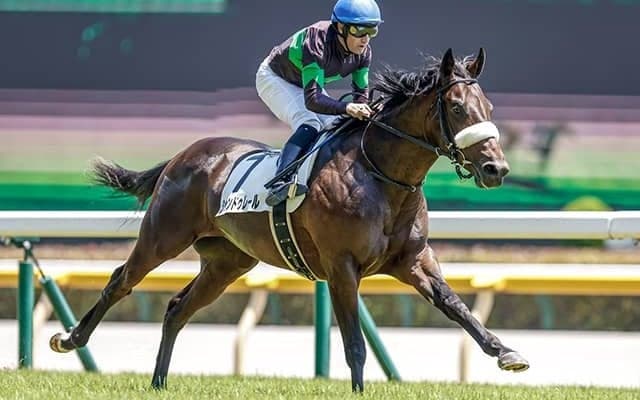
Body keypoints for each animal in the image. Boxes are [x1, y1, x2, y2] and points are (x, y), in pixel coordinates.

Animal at [49, 48, 529, 392]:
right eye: (457, 107)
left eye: (488, 105)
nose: (496, 169)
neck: (379, 176)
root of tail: (182, 155)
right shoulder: (342, 268)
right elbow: (354, 344)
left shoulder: (412, 260)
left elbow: (456, 306)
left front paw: (506, 352)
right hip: (162, 236)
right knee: (121, 281)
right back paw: (70, 338)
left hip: (227, 262)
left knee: (177, 308)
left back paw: (159, 381)